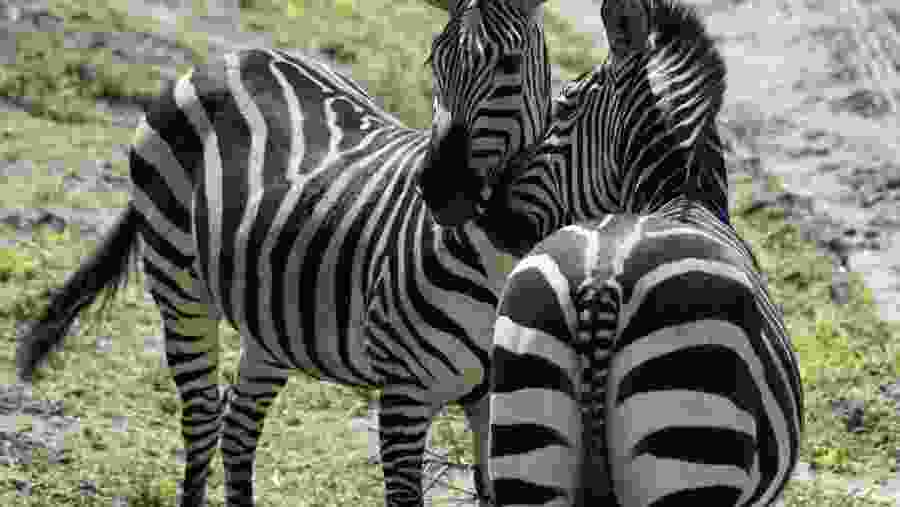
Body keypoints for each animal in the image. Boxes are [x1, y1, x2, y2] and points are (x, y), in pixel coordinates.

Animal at [15, 1, 552, 506]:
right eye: (434, 61)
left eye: (509, 63)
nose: (440, 190)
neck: (498, 266)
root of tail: (231, 56)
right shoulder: (405, 392)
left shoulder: (493, 395)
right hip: (178, 282)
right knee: (202, 419)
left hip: (273, 317)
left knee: (237, 428)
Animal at [415, 0, 805, 505]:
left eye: (563, 104)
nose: (491, 213)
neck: (680, 197)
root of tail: (601, 282)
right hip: (690, 432)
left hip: (525, 410)